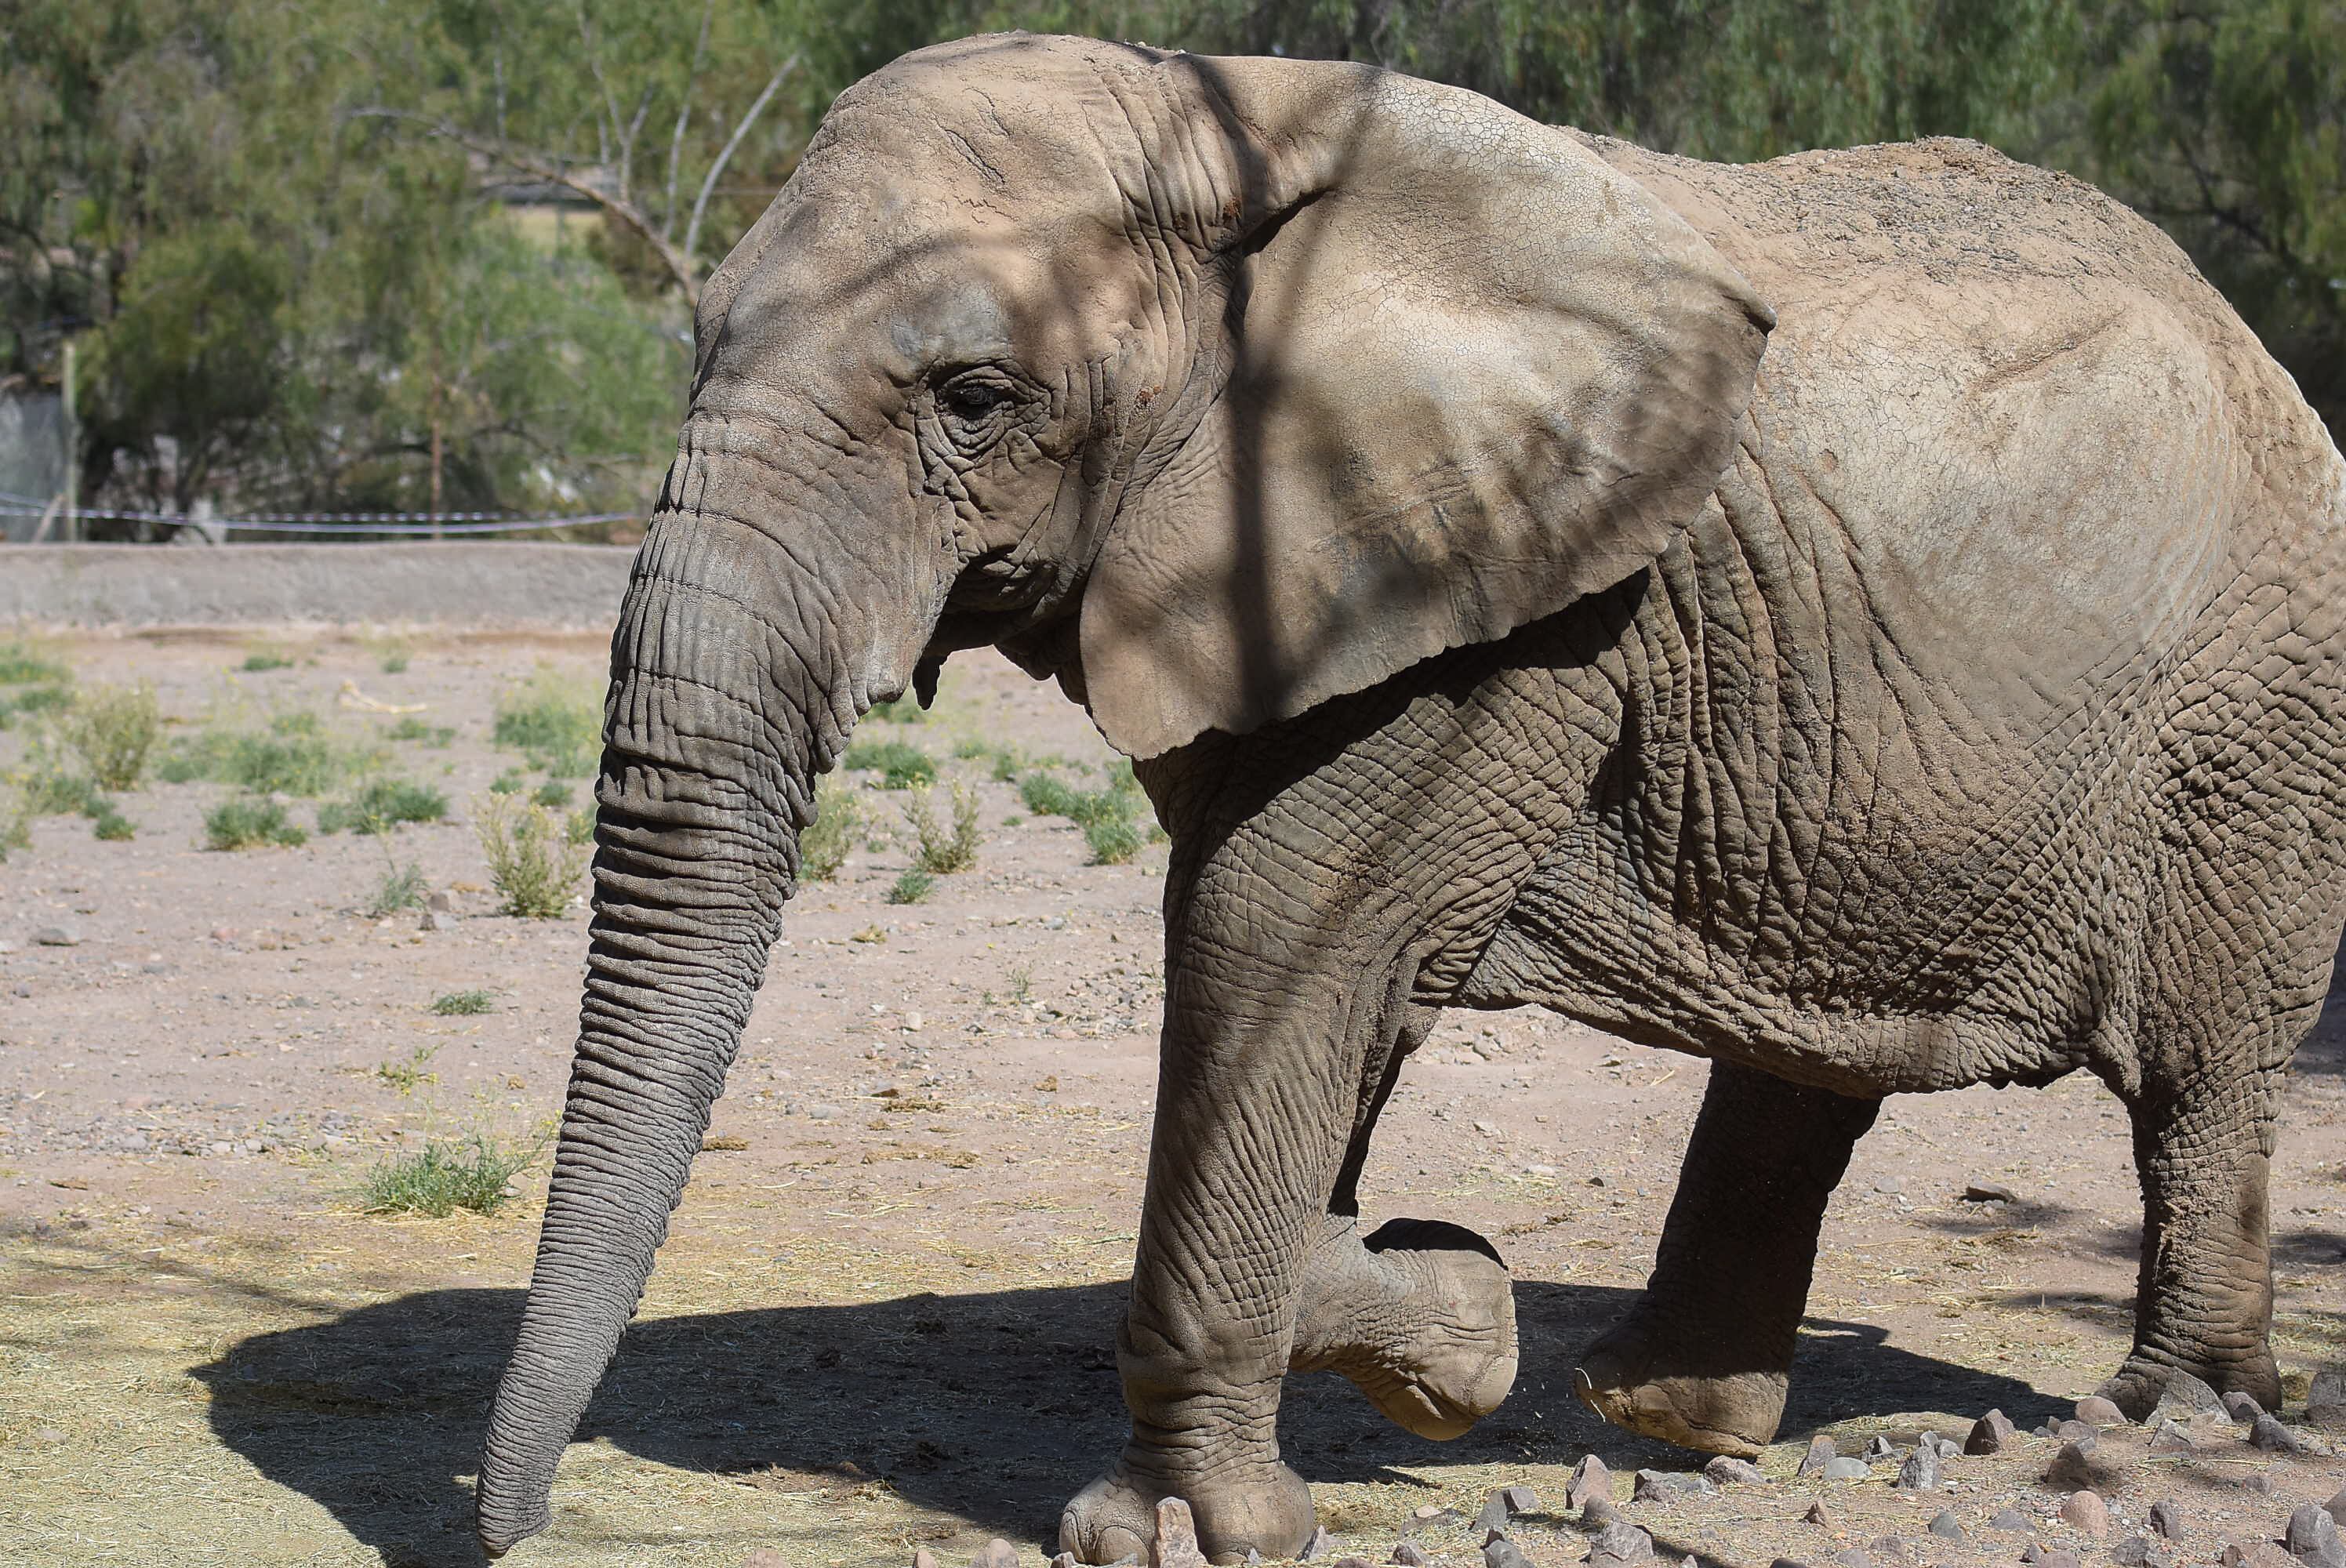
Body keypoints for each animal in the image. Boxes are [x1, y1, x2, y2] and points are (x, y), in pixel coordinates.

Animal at [467, 31, 2346, 1559]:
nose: (516, 1529)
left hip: (2251, 720)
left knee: (2200, 1071)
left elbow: (1270, 934)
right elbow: (1296, 977)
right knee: (1815, 1063)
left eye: (975, 399)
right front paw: (1437, 1301)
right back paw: (1655, 1408)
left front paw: (1197, 1513)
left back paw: (2153, 1422)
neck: (1213, 119)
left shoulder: (1521, 602)